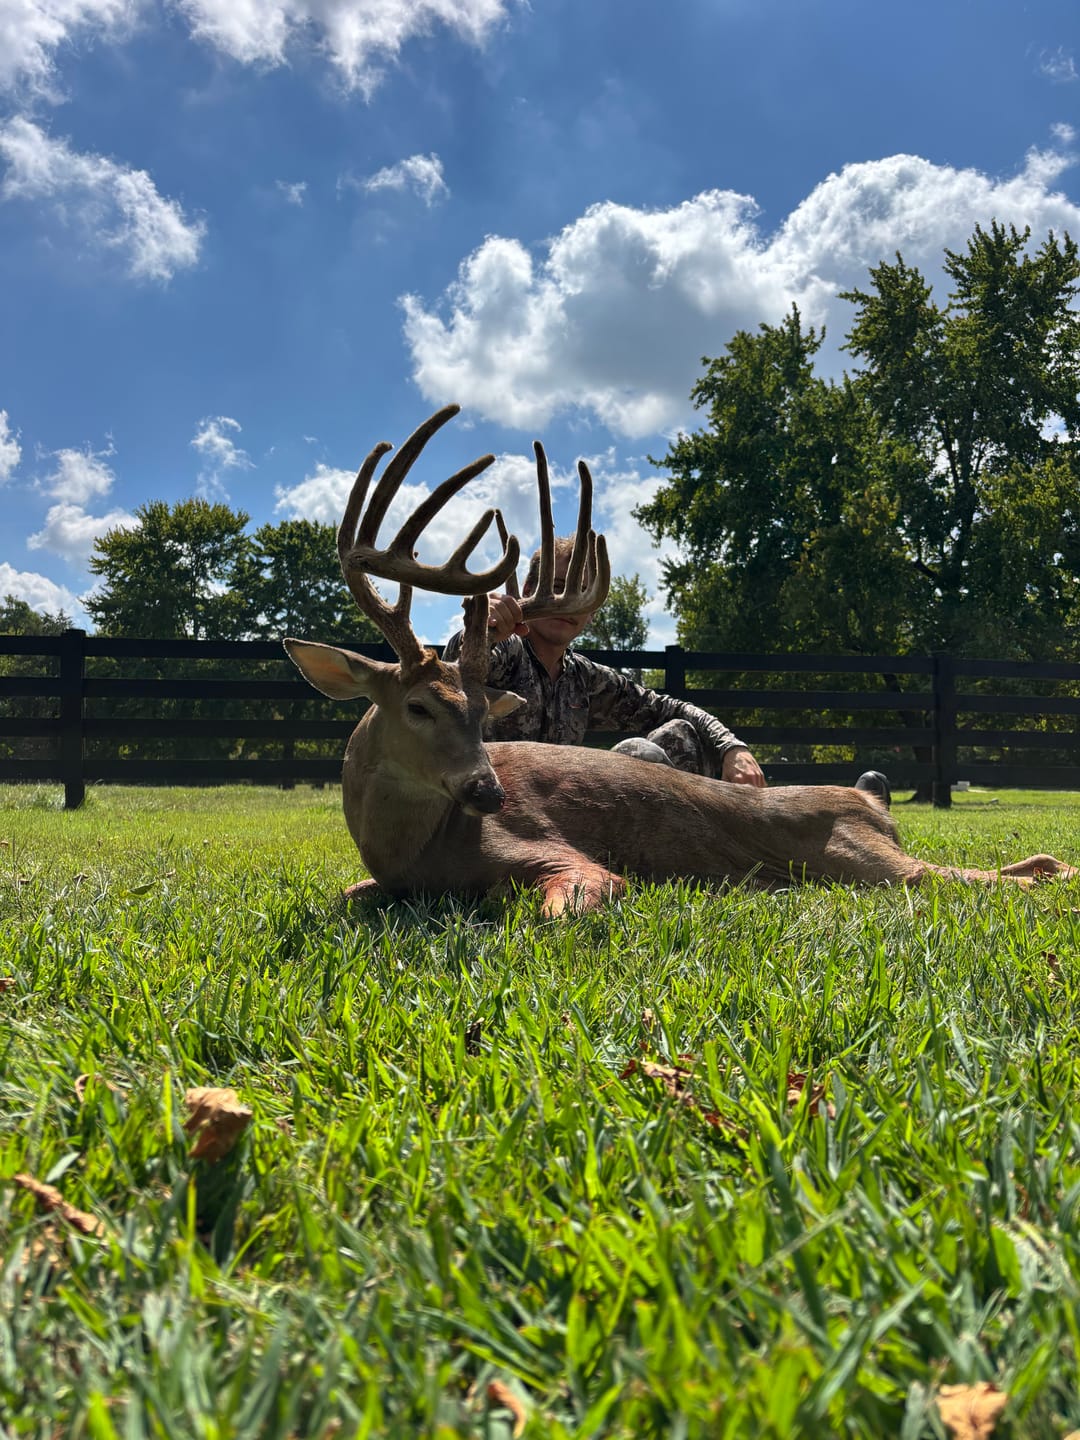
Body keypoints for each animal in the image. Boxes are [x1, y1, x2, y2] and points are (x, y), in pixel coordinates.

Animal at [284, 406, 1076, 916]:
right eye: (418, 706)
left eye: (483, 717)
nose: (488, 791)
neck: (411, 847)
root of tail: (873, 798)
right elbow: (344, 894)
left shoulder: (557, 855)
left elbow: (560, 911)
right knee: (1022, 866)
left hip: (867, 860)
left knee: (998, 880)